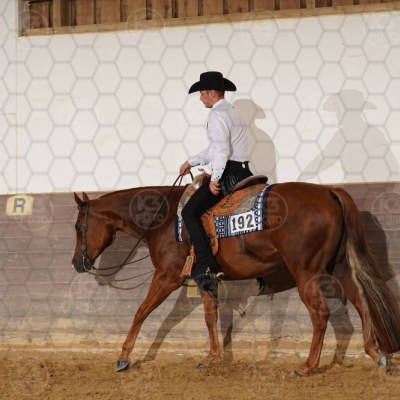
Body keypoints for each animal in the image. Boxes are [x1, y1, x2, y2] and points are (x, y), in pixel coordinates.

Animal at [72, 180, 400, 376]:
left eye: (78, 227)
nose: (77, 262)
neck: (163, 220)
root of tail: (329, 191)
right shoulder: (203, 278)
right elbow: (210, 317)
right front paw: (213, 356)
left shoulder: (167, 277)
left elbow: (142, 312)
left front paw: (123, 356)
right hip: (339, 266)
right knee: (362, 301)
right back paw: (376, 354)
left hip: (306, 272)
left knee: (321, 314)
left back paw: (307, 366)